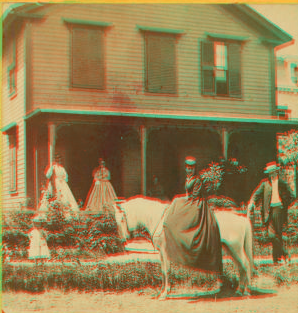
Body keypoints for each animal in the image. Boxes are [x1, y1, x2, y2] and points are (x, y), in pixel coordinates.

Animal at [115, 196, 253, 298]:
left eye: (122, 219)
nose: (123, 239)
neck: (159, 220)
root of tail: (242, 219)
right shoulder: (160, 252)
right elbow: (162, 270)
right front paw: (161, 292)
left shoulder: (165, 251)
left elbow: (167, 270)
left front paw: (165, 294)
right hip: (231, 249)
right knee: (241, 267)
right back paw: (239, 290)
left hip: (235, 248)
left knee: (246, 265)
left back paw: (246, 291)